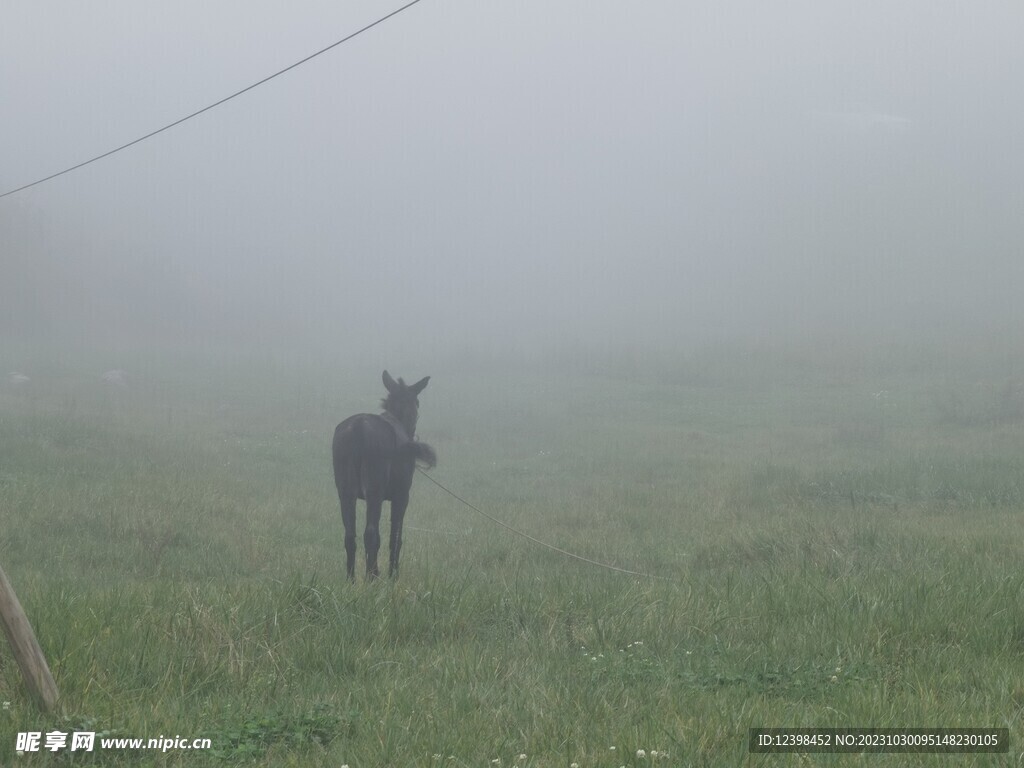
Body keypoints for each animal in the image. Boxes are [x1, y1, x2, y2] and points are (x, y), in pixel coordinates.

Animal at [331, 370, 436, 577]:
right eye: (417, 403)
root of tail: (358, 427)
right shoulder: (402, 496)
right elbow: (396, 537)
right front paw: (393, 575)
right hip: (375, 490)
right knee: (371, 533)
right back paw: (372, 576)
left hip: (345, 491)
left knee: (350, 535)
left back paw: (351, 579)